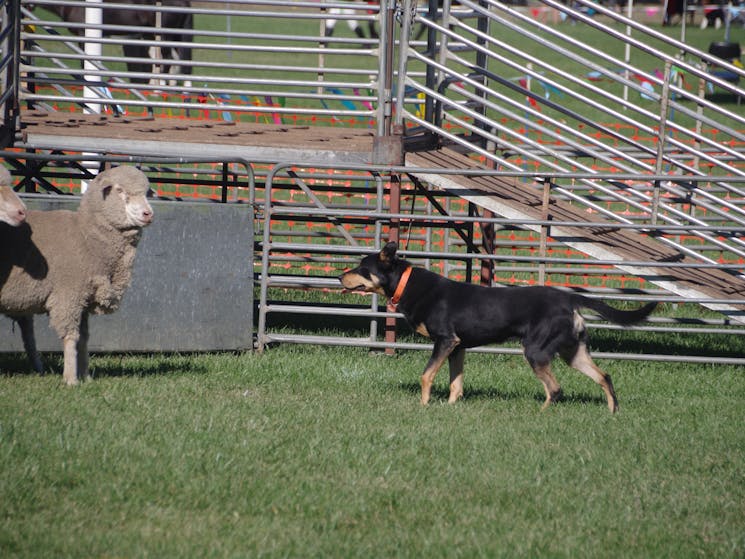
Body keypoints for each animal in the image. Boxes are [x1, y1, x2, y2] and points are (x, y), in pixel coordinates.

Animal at [0, 166, 154, 384]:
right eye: (120, 190)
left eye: (146, 192)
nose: (148, 214)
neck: (86, 235)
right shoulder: (69, 295)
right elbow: (71, 337)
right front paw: (71, 379)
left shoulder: (83, 298)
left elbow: (84, 339)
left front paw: (86, 377)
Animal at [338, 243, 656, 414]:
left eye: (362, 268)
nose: (340, 277)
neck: (406, 284)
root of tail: (568, 298)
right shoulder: (458, 347)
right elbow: (456, 384)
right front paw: (451, 407)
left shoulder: (444, 341)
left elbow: (426, 375)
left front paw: (424, 406)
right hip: (573, 351)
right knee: (604, 376)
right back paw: (612, 412)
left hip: (536, 350)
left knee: (555, 389)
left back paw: (539, 414)